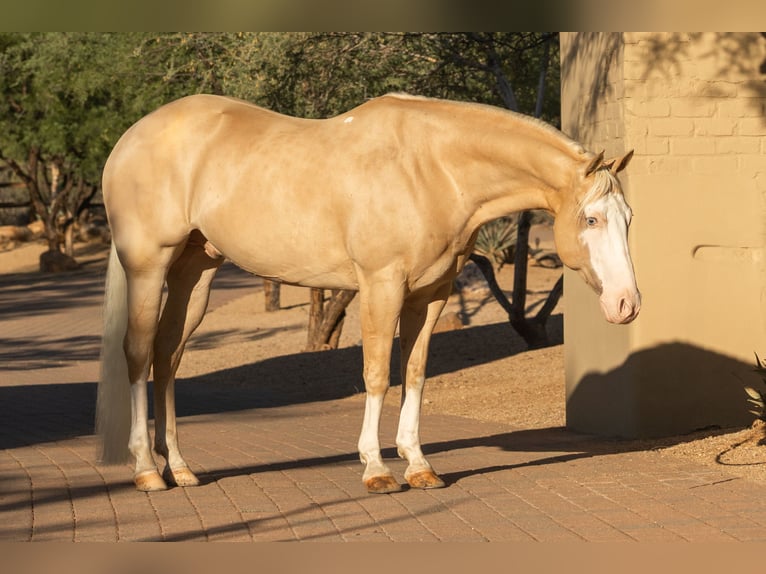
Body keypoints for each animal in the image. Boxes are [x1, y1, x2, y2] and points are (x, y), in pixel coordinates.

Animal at [96, 93, 640, 494]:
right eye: (591, 219)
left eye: (628, 218)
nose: (626, 304)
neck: (431, 169)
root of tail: (130, 138)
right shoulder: (381, 286)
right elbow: (377, 373)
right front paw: (376, 469)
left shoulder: (431, 295)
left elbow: (415, 373)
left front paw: (419, 466)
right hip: (149, 266)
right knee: (139, 352)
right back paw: (147, 471)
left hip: (197, 271)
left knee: (167, 356)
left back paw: (180, 467)